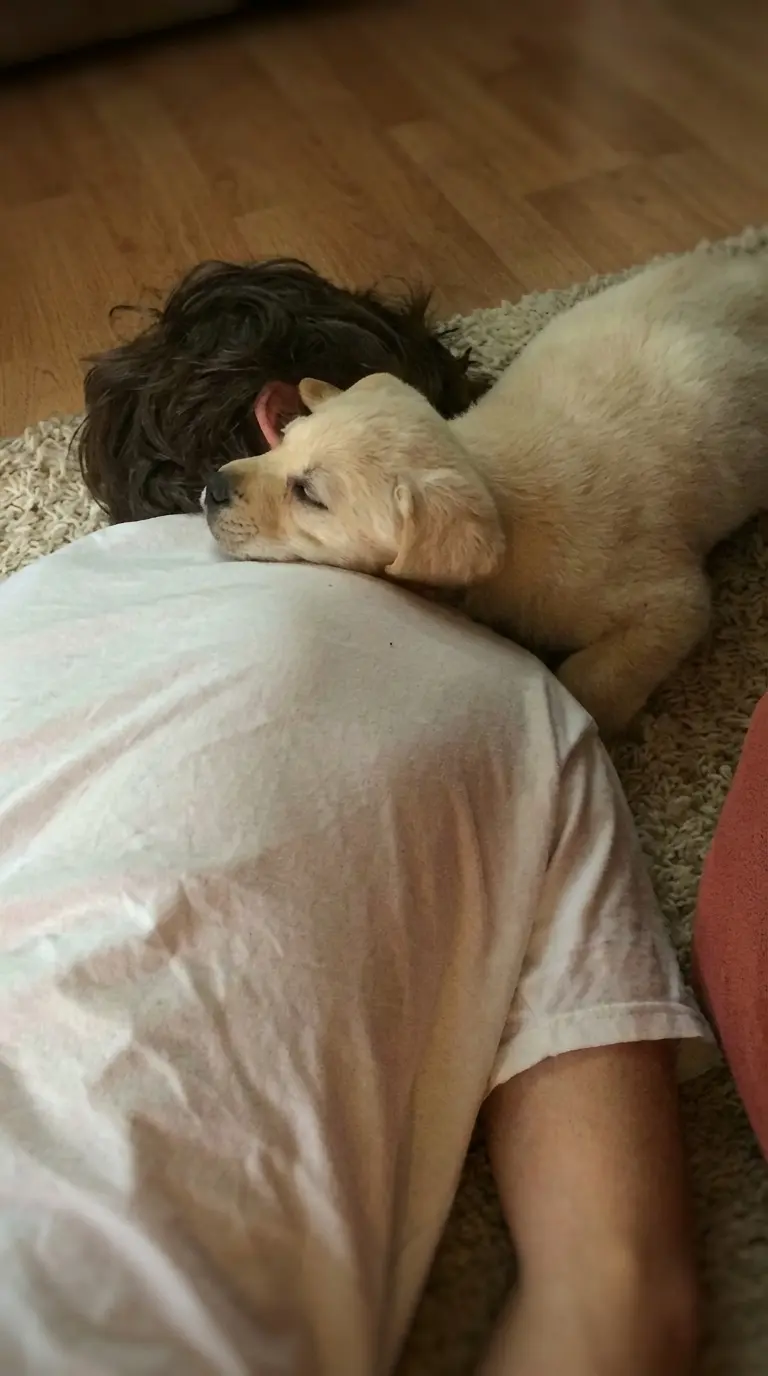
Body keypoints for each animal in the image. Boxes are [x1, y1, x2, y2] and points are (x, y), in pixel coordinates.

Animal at [205, 251, 768, 735]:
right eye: (285, 435)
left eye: (309, 495)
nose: (212, 488)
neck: (498, 490)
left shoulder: (672, 602)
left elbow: (591, 680)